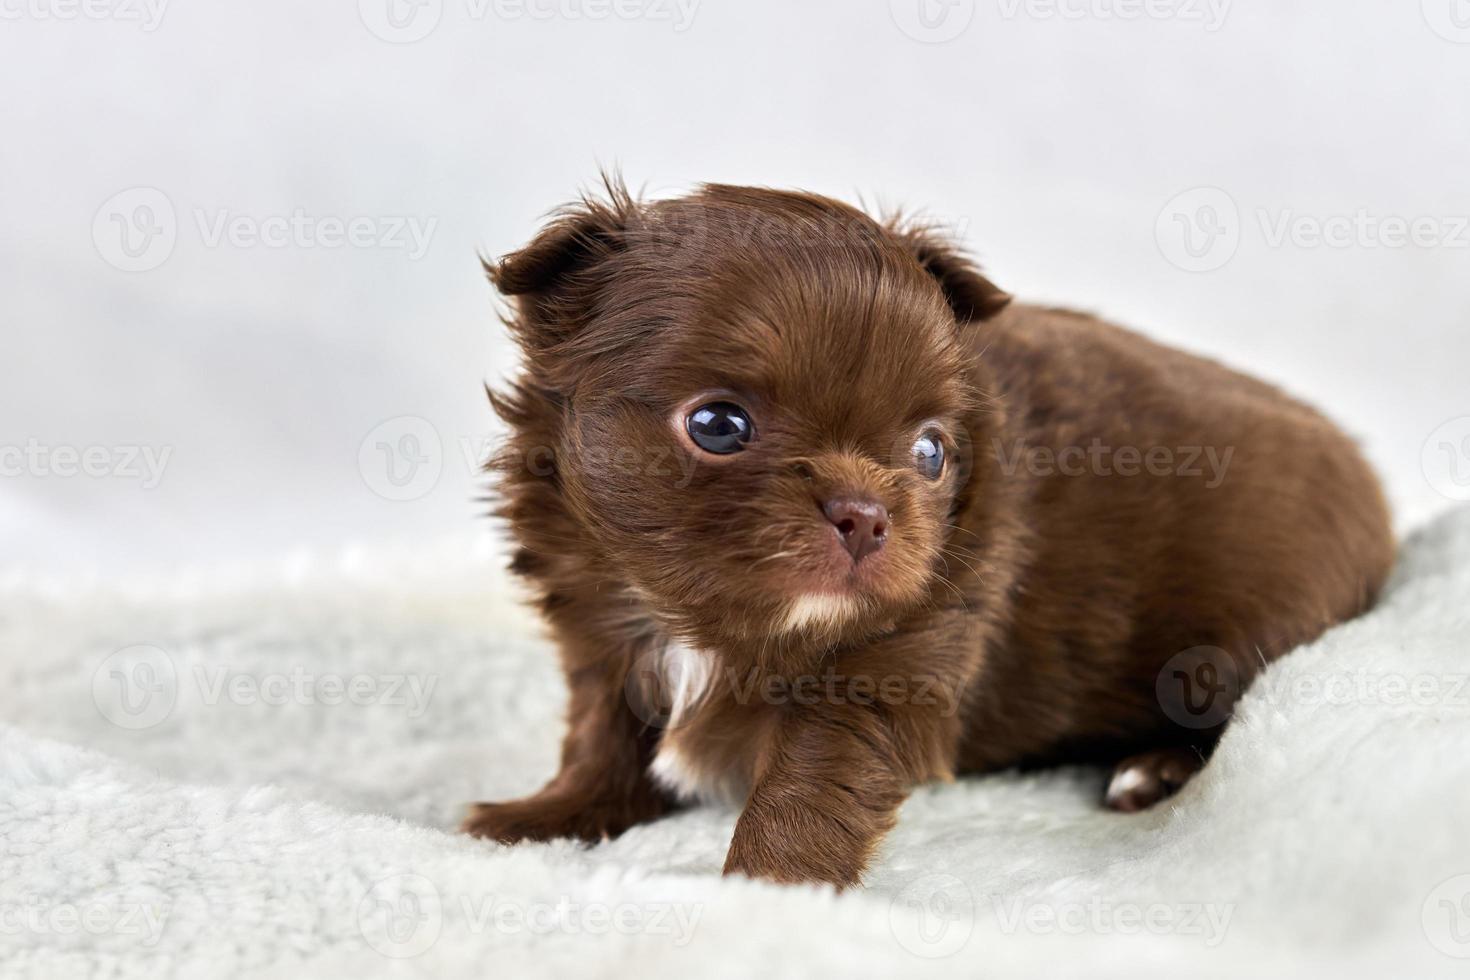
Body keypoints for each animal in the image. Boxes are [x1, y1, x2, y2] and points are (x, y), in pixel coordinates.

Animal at [464, 178, 1393, 887]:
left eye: (931, 452)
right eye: (718, 425)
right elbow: (605, 738)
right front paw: (547, 816)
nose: (867, 514)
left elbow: (811, 778)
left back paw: (1152, 771)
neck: (705, 624)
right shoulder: (603, 635)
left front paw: (769, 886)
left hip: (1229, 650)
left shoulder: (895, 655)